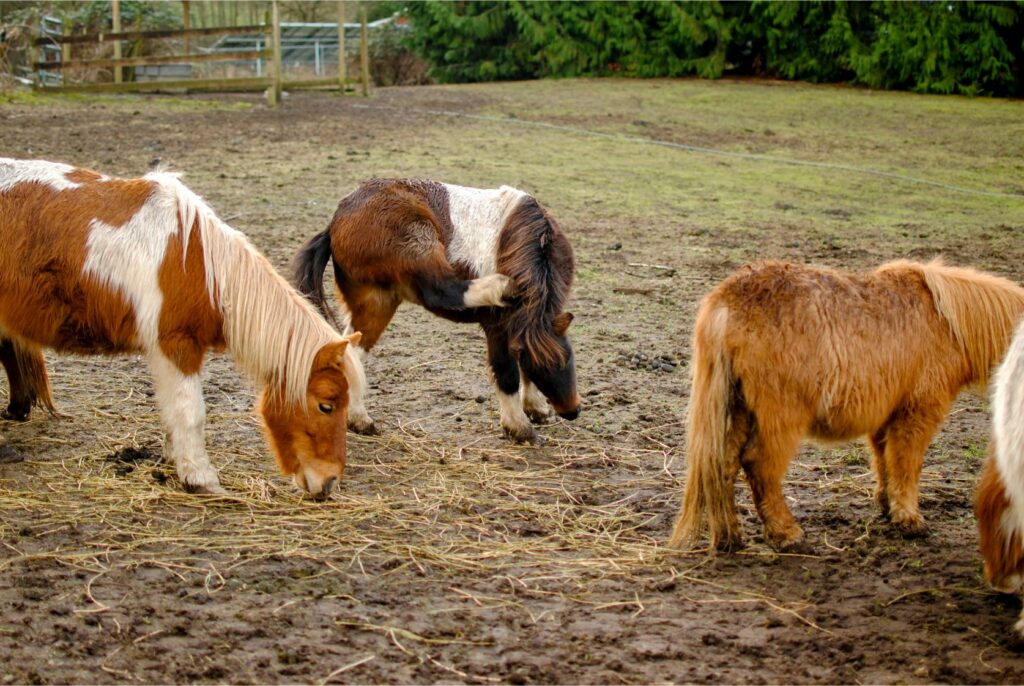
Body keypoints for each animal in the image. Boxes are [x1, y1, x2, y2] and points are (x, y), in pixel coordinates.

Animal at [0, 159, 366, 499]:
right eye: (326, 405)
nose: (329, 482)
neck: (201, 266)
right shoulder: (176, 345)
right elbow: (191, 412)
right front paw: (201, 479)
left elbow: (172, 410)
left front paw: (175, 461)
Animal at [292, 179, 581, 446]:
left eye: (567, 359)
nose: (572, 411)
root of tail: (335, 223)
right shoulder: (499, 328)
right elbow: (507, 372)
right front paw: (520, 428)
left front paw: (536, 408)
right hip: (417, 248)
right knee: (441, 289)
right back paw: (502, 287)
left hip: (376, 303)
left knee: (350, 350)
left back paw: (358, 421)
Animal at [667, 258, 1024, 552]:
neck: (945, 322)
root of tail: (727, 301)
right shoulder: (917, 413)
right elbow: (907, 464)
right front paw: (909, 519)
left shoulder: (886, 414)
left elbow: (884, 459)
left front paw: (887, 506)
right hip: (779, 420)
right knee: (759, 466)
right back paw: (786, 534)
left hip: (737, 409)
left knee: (722, 466)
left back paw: (731, 538)